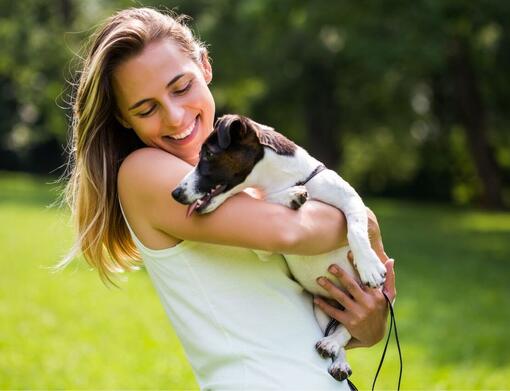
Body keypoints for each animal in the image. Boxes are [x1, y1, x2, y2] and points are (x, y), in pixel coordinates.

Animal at [171, 114, 386, 382]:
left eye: (208, 154)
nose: (175, 193)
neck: (282, 179)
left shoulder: (351, 199)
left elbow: (355, 229)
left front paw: (369, 266)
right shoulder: (266, 244)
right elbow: (265, 200)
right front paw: (291, 196)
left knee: (347, 329)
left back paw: (334, 345)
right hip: (320, 307)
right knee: (338, 330)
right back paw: (337, 357)